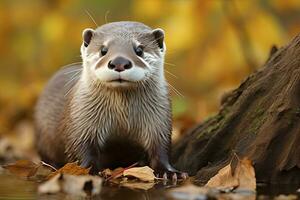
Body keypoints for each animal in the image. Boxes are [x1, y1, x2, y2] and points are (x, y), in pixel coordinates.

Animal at [35, 21, 185, 178]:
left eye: (139, 50)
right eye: (103, 50)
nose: (119, 61)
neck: (122, 120)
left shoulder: (159, 121)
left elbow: (161, 149)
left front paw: (169, 172)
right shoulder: (80, 122)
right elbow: (81, 149)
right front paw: (91, 170)